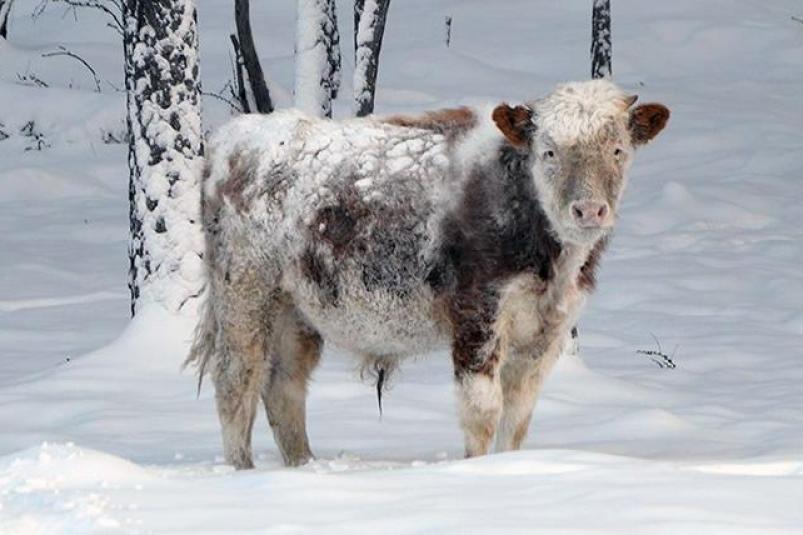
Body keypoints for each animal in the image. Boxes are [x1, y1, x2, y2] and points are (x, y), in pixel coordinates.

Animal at [188, 79, 672, 468]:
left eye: (618, 150)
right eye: (549, 151)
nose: (588, 210)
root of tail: (234, 137)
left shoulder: (546, 333)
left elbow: (517, 416)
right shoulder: (478, 317)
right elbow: (483, 410)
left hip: (297, 314)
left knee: (284, 389)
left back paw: (303, 466)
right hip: (245, 298)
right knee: (236, 382)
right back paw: (243, 470)